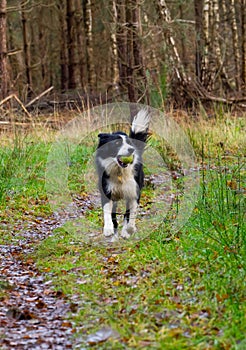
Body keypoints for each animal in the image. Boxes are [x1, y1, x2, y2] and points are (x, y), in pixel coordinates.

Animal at [95, 109, 150, 238]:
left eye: (129, 143)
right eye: (116, 143)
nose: (131, 149)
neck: (120, 172)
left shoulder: (134, 192)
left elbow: (130, 214)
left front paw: (128, 230)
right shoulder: (107, 190)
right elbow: (108, 213)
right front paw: (108, 229)